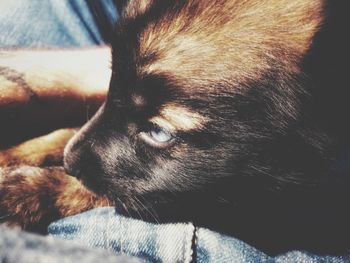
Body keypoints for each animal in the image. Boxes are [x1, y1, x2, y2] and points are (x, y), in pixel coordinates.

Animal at [0, 0, 350, 256]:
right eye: (113, 83)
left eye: (158, 132)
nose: (70, 162)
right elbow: (70, 131)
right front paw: (19, 153)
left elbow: (111, 192)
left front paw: (26, 192)